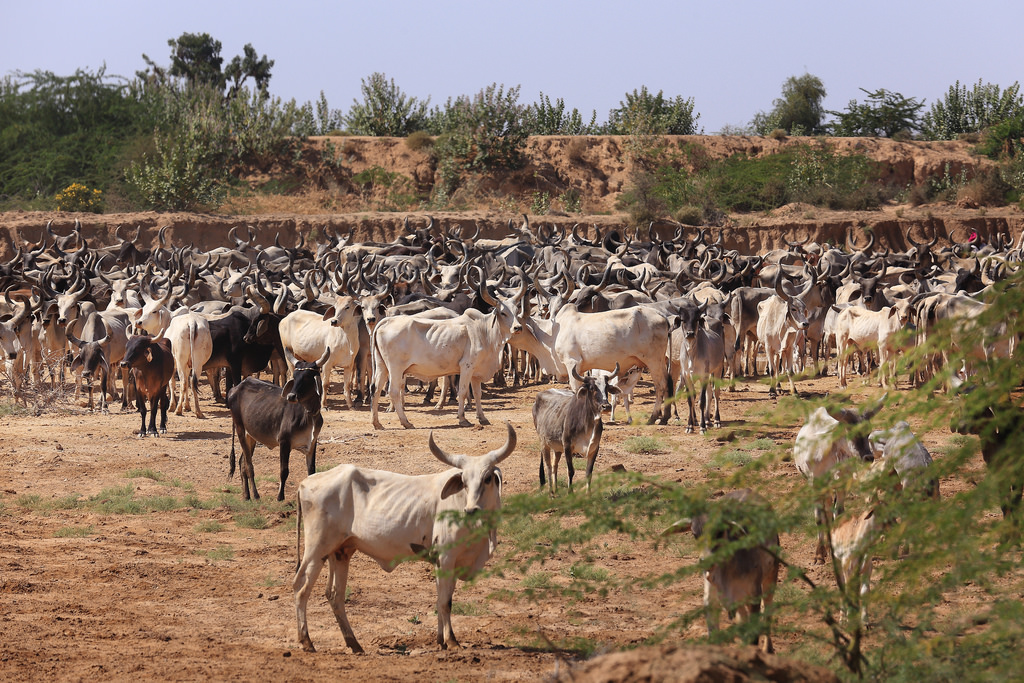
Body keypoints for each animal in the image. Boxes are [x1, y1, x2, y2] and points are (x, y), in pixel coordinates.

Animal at [230, 348, 329, 501]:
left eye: (307, 377)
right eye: (295, 376)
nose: (291, 396)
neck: (309, 414)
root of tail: (237, 387)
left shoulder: (312, 443)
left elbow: (311, 471)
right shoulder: (284, 442)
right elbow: (284, 470)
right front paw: (280, 497)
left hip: (250, 435)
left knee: (242, 464)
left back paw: (246, 495)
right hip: (240, 429)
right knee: (248, 465)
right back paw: (256, 495)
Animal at [292, 421, 516, 651]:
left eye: (487, 478)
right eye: (463, 481)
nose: (471, 510)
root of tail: (306, 482)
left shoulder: (447, 563)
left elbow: (440, 599)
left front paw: (440, 641)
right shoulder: (446, 558)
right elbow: (446, 602)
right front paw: (451, 641)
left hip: (340, 552)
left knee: (335, 596)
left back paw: (354, 644)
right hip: (316, 550)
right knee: (301, 590)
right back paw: (307, 641)